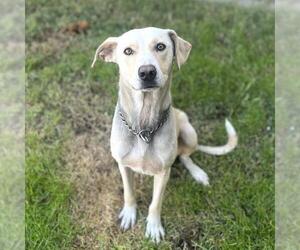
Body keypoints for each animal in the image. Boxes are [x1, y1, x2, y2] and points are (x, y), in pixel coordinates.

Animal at [91, 26, 237, 242]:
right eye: (127, 51)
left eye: (161, 46)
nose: (147, 72)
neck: (144, 126)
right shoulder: (122, 165)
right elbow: (129, 193)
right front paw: (129, 214)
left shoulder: (162, 173)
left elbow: (155, 203)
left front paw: (153, 226)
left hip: (188, 130)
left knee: (185, 155)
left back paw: (198, 174)